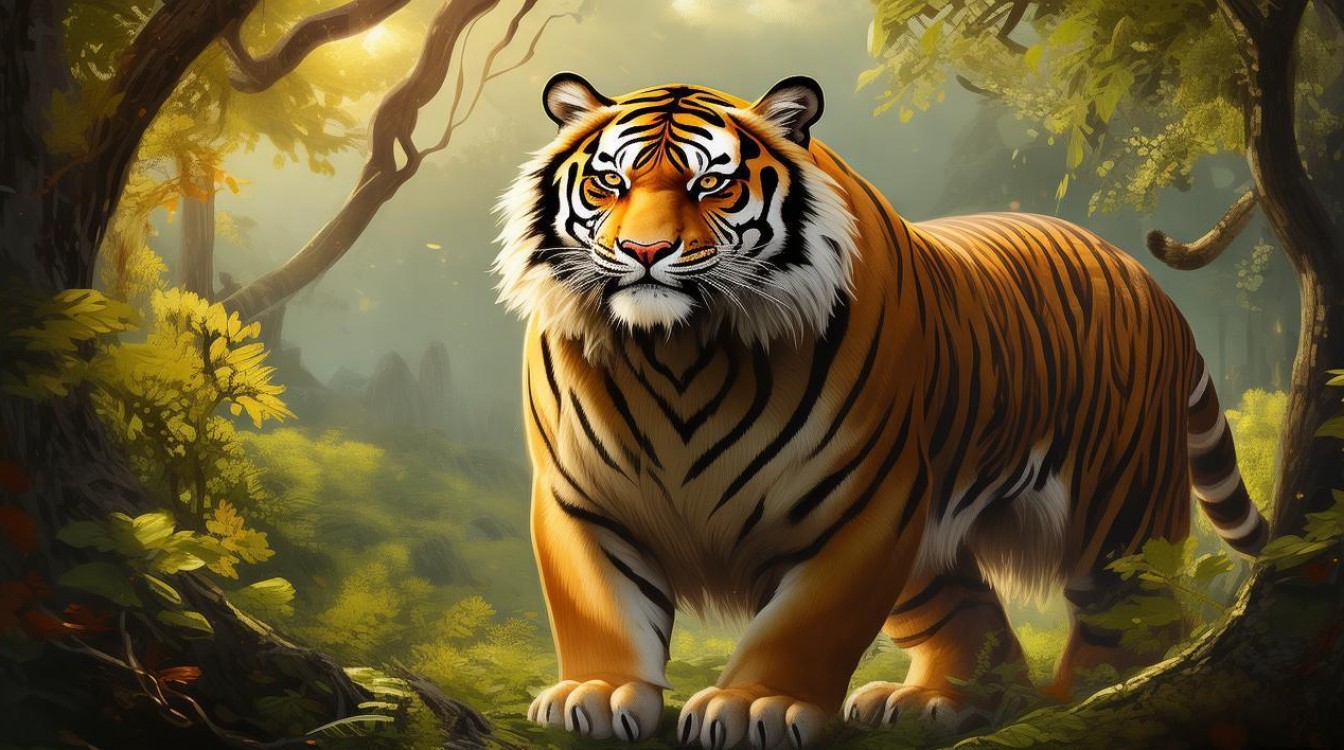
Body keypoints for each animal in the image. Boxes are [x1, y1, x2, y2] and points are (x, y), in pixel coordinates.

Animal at [492, 73, 1268, 749]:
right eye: (609, 183)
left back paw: (1093, 701)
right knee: (973, 613)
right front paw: (597, 693)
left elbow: (805, 622)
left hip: (1118, 508)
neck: (678, 353)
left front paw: (756, 707)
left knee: (1131, 613)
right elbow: (600, 605)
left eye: (710, 182)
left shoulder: (863, 502)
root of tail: (1150, 283)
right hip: (933, 551)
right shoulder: (578, 496)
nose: (644, 251)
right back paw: (939, 701)